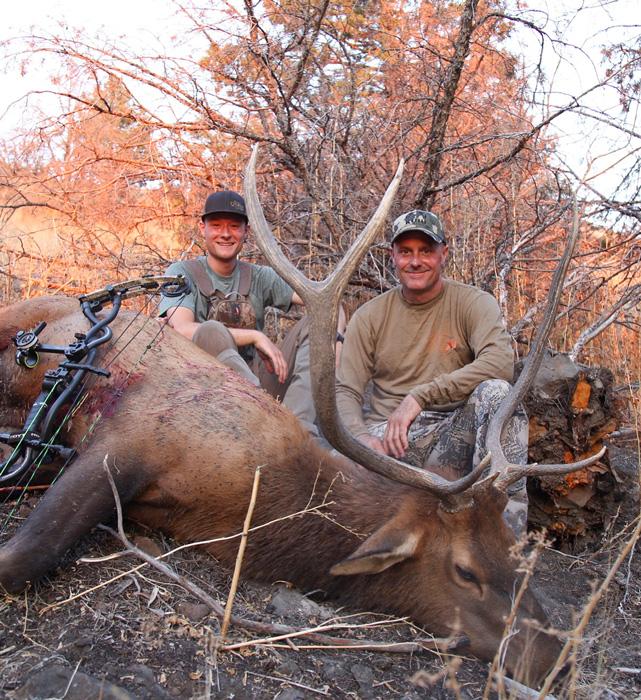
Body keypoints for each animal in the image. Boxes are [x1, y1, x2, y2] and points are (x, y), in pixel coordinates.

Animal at [0, 149, 604, 686]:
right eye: (465, 570)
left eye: (515, 556)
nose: (557, 659)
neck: (252, 505)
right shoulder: (127, 440)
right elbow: (20, 559)